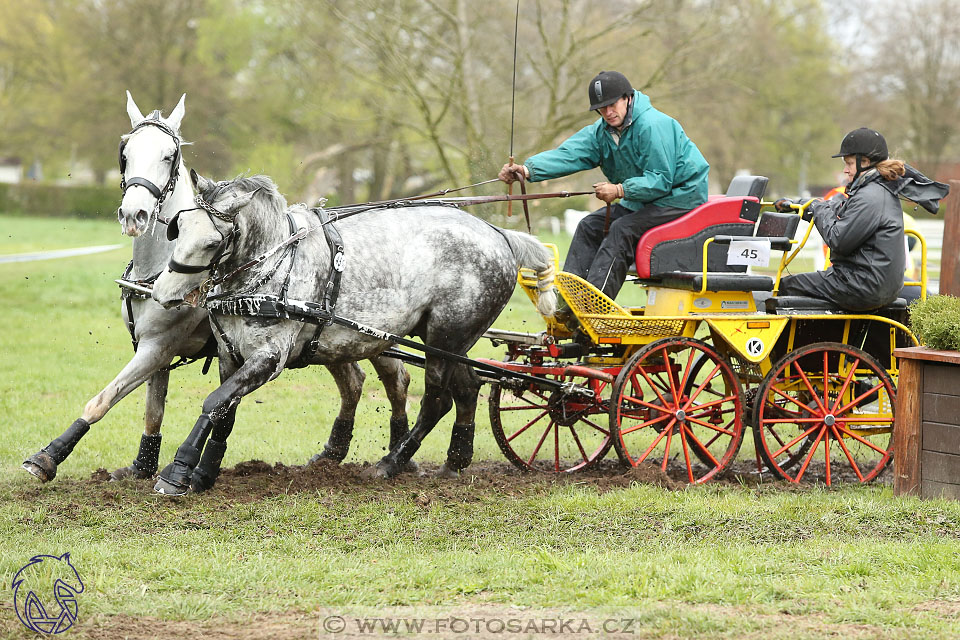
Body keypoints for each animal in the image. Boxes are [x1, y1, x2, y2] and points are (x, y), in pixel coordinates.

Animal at [23, 92, 412, 490]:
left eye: (169, 155)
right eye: (125, 152)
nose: (134, 215)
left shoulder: (158, 346)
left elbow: (104, 398)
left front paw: (49, 456)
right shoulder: (154, 346)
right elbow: (153, 409)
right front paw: (141, 466)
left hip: (373, 337)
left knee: (397, 379)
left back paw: (399, 453)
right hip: (325, 341)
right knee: (353, 382)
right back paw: (333, 453)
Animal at [149, 171, 556, 496]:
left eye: (212, 242)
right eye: (177, 230)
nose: (162, 293)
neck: (267, 269)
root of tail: (500, 235)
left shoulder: (269, 358)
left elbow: (213, 402)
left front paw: (178, 471)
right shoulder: (229, 354)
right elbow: (224, 411)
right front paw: (204, 473)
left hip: (446, 336)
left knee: (437, 401)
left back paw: (391, 463)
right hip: (450, 340)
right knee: (468, 388)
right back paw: (455, 461)